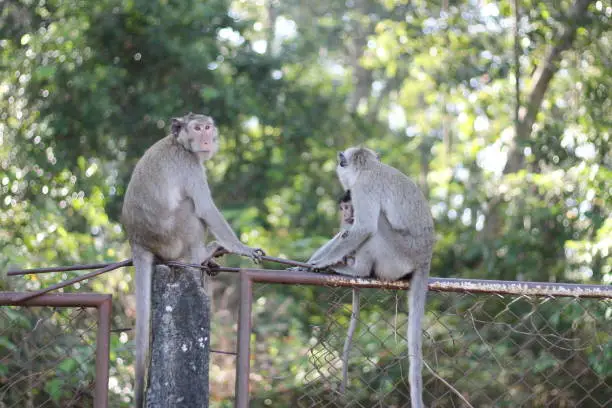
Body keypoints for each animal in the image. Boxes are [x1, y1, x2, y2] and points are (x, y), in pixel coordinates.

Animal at [120, 112, 264, 408]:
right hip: (171, 238)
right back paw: (201, 254)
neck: (181, 144)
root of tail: (137, 240)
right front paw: (242, 247)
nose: (207, 137)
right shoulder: (190, 166)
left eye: (207, 126)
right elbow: (206, 208)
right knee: (189, 208)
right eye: (197, 128)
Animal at [308, 147, 432, 408]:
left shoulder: (362, 188)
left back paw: (358, 271)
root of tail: (425, 257)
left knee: (375, 228)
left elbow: (364, 228)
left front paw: (322, 263)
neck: (369, 168)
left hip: (397, 257)